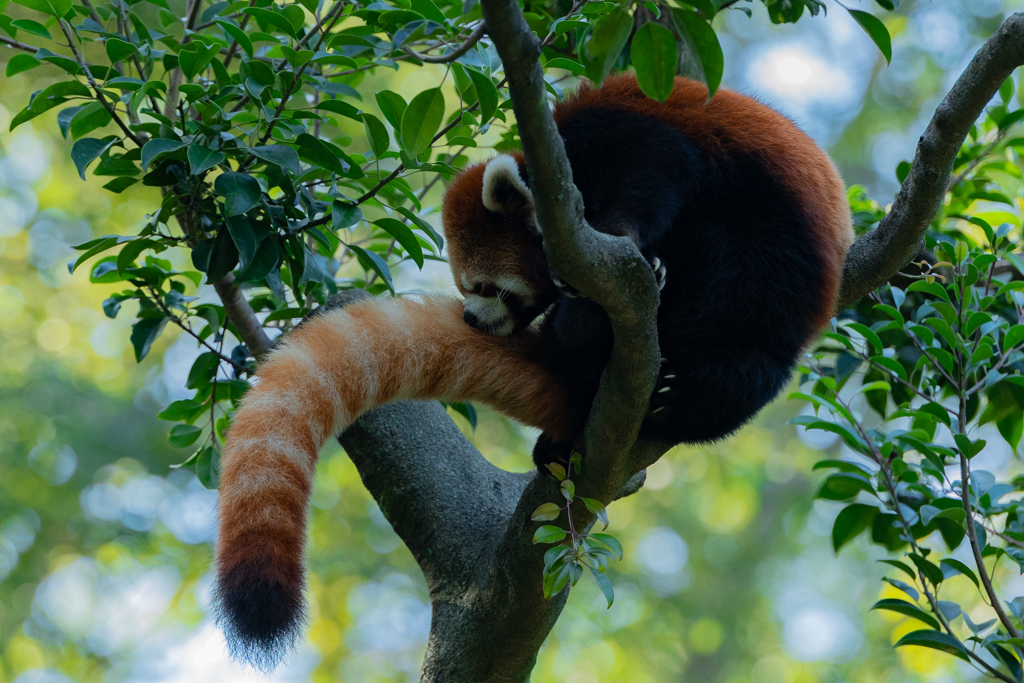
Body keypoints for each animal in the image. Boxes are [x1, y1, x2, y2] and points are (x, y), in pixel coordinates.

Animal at [211, 74, 851, 667]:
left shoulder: (643, 133)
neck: (562, 170)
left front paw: (630, 243)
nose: (471, 319)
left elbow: (651, 183)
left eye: (488, 288)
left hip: (768, 261)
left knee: (747, 335)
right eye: (466, 289)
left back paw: (677, 386)